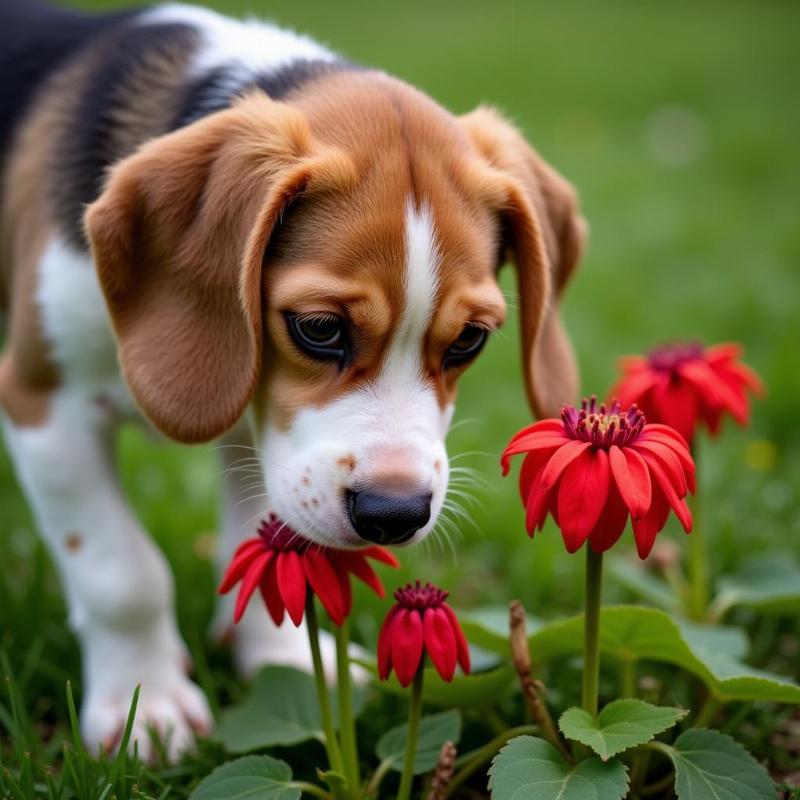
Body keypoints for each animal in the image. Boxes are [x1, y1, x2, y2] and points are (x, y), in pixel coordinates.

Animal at [0, 0, 588, 760]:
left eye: (469, 339)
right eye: (319, 327)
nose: (394, 515)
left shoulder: (260, 424)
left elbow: (265, 536)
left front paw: (281, 665)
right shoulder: (44, 402)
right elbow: (120, 573)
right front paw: (146, 707)